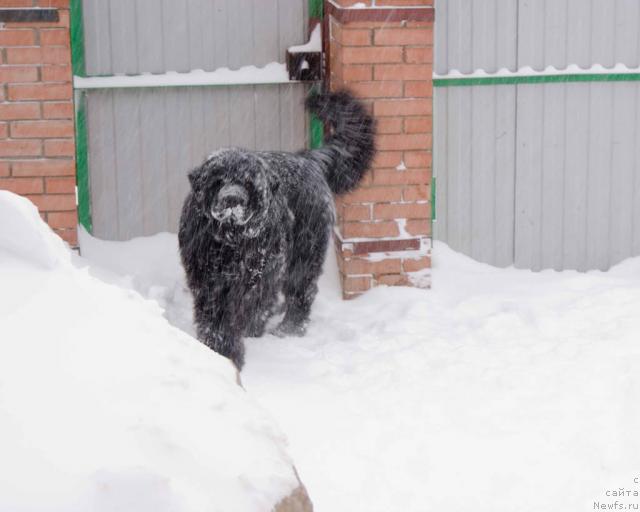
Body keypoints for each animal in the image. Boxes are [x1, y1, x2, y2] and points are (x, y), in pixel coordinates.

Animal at [178, 89, 376, 368]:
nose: (232, 198)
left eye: (248, 183)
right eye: (218, 181)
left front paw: (231, 348)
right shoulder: (207, 280)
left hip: (304, 254)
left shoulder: (258, 276)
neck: (230, 245)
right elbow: (215, 317)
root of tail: (309, 158)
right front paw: (218, 348)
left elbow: (242, 310)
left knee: (301, 292)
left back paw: (288, 329)